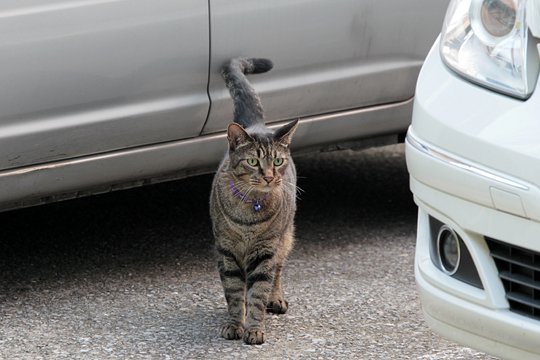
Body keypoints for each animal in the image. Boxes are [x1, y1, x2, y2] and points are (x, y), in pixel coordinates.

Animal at [209, 57, 298, 344]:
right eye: (252, 161)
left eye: (277, 161)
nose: (269, 176)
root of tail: (256, 125)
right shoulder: (226, 250)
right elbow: (235, 292)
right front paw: (235, 324)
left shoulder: (265, 251)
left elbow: (259, 291)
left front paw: (255, 328)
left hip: (286, 237)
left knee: (278, 270)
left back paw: (276, 298)